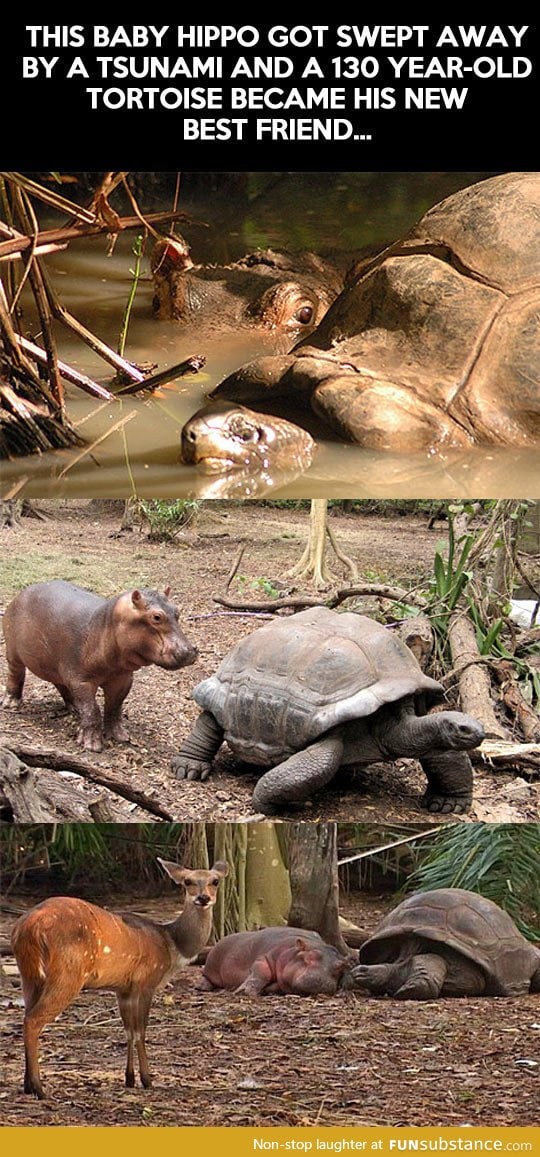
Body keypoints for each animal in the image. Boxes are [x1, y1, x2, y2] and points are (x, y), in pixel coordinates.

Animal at [2, 578, 196, 749]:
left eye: (177, 611)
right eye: (156, 617)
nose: (190, 650)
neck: (106, 625)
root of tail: (21, 593)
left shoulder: (122, 679)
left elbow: (114, 707)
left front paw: (120, 736)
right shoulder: (81, 680)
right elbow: (92, 709)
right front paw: (91, 745)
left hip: (55, 664)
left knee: (61, 684)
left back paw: (75, 709)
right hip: (13, 652)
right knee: (15, 674)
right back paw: (10, 703)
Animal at [11, 860, 227, 1092]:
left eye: (215, 881)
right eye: (187, 881)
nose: (203, 898)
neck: (171, 945)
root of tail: (29, 925)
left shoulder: (123, 990)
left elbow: (128, 1031)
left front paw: (129, 1079)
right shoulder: (146, 982)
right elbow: (141, 1031)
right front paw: (147, 1080)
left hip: (29, 974)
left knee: (26, 1016)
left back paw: (27, 1085)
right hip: (67, 973)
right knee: (33, 1020)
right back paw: (38, 1089)